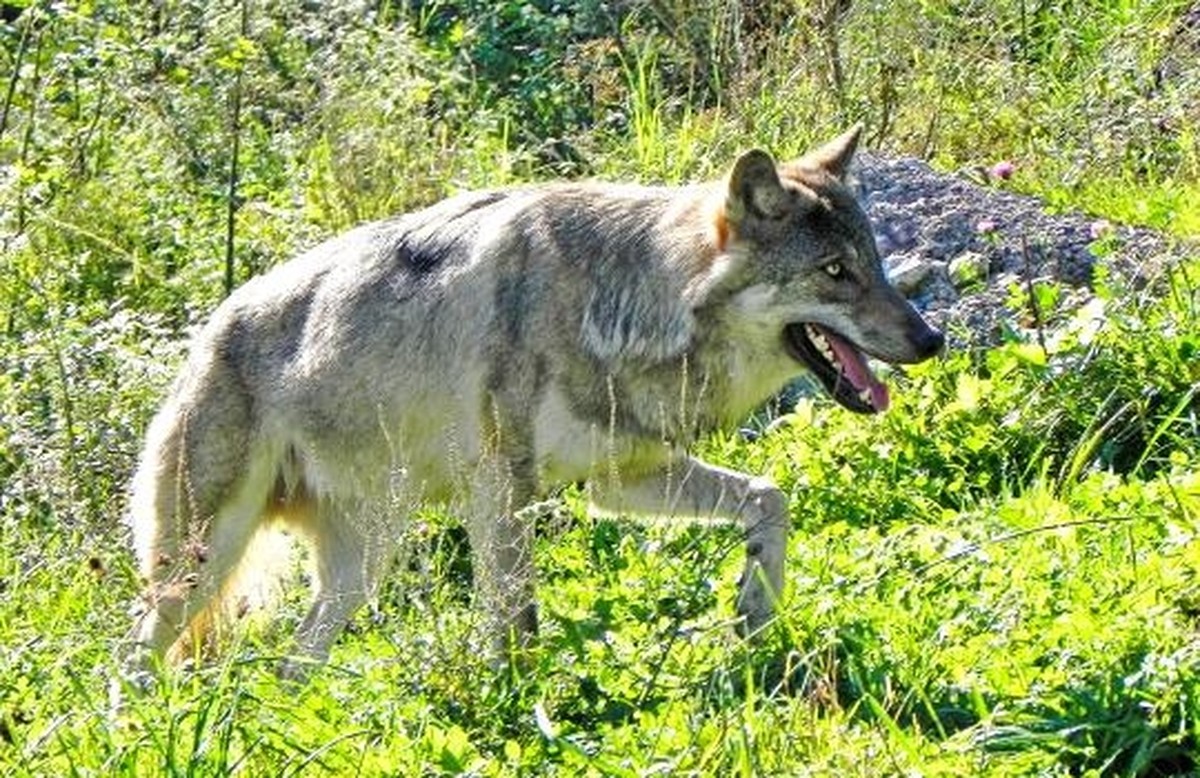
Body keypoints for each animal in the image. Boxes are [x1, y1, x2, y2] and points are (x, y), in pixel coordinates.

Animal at [126, 125, 944, 676]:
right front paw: (520, 708)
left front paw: (755, 613)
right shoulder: (502, 490)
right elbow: (518, 622)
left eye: (875, 265)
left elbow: (771, 498)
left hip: (360, 568)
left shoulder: (621, 480)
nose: (931, 338)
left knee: (295, 662)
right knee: (131, 658)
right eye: (834, 272)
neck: (627, 301)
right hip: (199, 564)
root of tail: (203, 339)